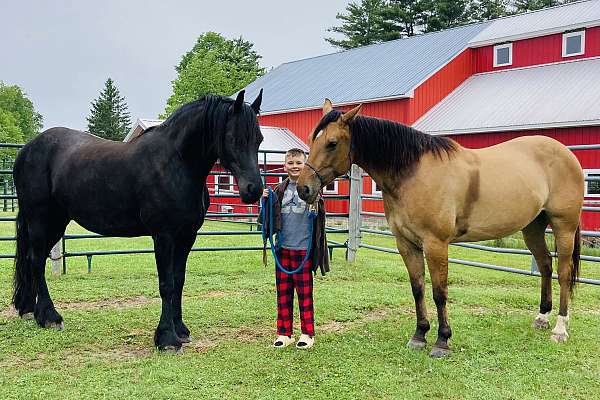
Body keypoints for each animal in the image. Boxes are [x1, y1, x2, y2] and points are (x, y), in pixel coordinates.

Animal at [11, 90, 264, 354]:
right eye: (233, 139)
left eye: (259, 139)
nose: (254, 190)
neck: (175, 164)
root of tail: (27, 150)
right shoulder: (164, 236)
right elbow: (166, 284)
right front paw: (167, 339)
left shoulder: (186, 237)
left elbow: (179, 281)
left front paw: (181, 330)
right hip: (40, 219)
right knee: (36, 262)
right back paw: (50, 317)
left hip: (56, 221)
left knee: (34, 261)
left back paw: (31, 310)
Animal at [298, 99, 584, 356]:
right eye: (313, 139)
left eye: (332, 143)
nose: (304, 189)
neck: (413, 173)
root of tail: (567, 154)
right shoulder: (406, 243)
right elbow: (418, 288)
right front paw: (419, 335)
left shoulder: (435, 244)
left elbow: (439, 292)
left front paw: (442, 341)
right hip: (533, 228)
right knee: (545, 266)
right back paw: (542, 317)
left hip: (564, 226)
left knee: (563, 272)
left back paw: (559, 329)